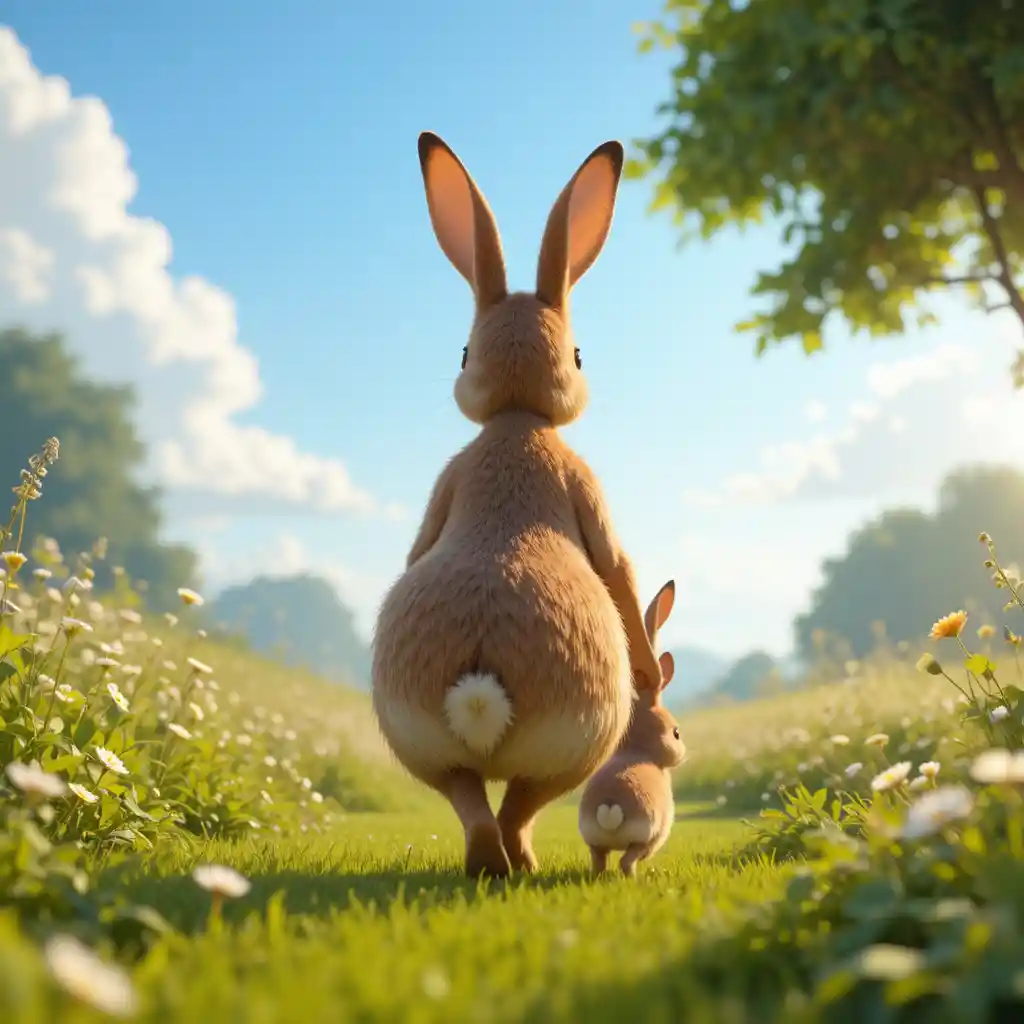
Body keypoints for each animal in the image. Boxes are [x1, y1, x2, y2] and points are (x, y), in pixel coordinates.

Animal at [371, 131, 664, 880]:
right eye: (581, 355)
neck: (516, 422)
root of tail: (479, 682)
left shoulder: (446, 483)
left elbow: (417, 542)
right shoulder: (585, 485)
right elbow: (618, 564)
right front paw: (652, 671)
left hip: (420, 743)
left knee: (469, 799)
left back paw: (488, 863)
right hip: (575, 743)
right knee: (518, 808)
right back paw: (519, 864)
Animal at [578, 579, 686, 878]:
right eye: (676, 733)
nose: (682, 752)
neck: (638, 749)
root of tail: (609, 807)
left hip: (594, 842)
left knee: (598, 860)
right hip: (644, 838)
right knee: (628, 860)